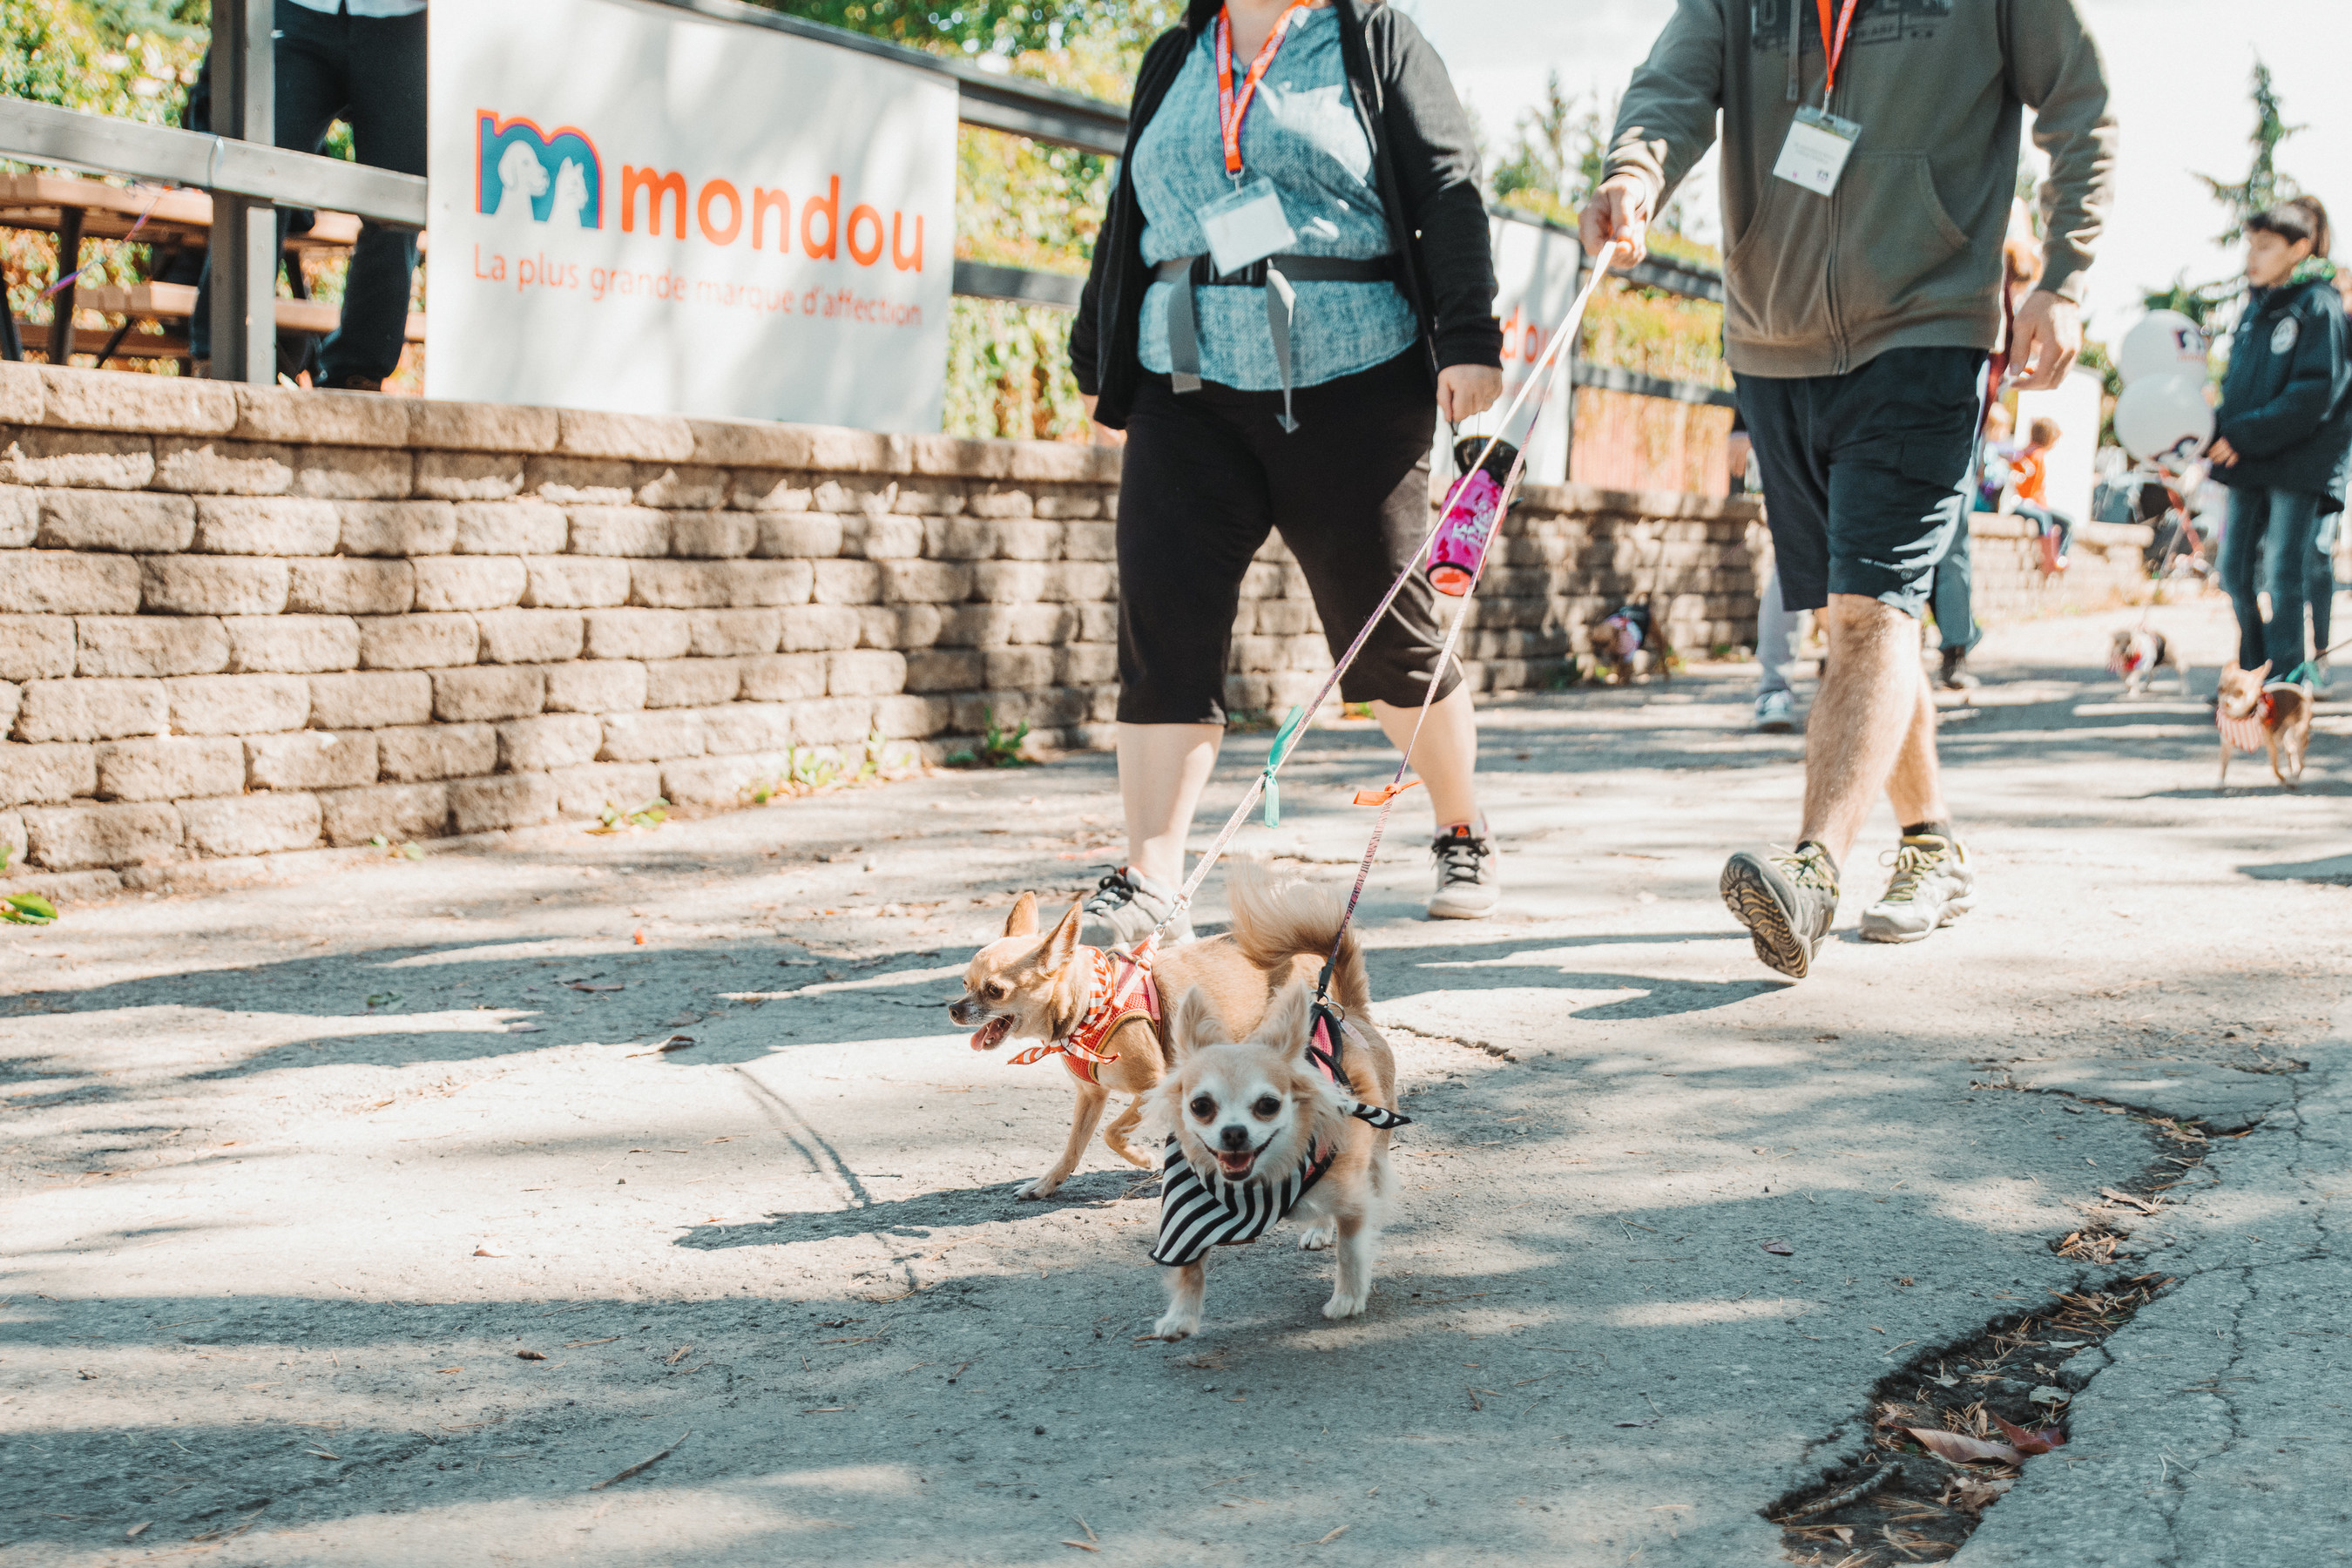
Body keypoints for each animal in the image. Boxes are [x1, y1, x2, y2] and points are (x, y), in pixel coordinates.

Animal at [1138, 889, 1392, 1344]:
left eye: (1268, 1105)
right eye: (1201, 1106)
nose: (1234, 1133)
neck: (1258, 1185)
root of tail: (1350, 1014)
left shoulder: (1355, 1202)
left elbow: (1351, 1250)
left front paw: (1348, 1298)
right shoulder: (1185, 1219)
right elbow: (1188, 1270)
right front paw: (1181, 1317)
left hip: (1371, 1160)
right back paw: (1318, 1229)